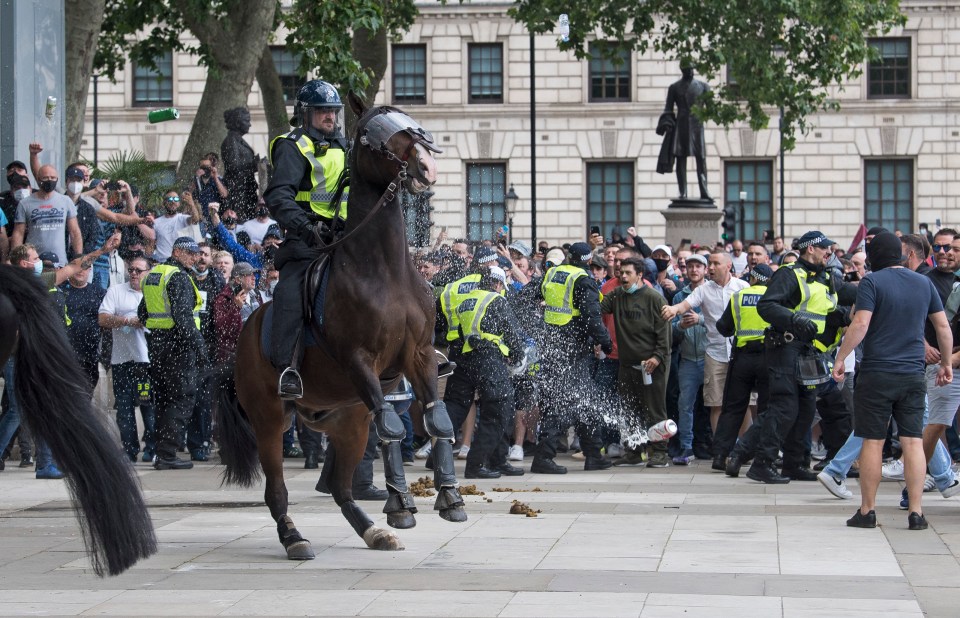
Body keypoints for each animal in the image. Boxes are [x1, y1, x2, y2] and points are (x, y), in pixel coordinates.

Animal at [221, 92, 468, 560]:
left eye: (411, 121)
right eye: (377, 134)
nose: (427, 167)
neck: (384, 270)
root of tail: (243, 339)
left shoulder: (419, 357)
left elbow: (438, 420)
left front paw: (449, 497)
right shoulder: (359, 361)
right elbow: (392, 426)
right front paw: (402, 504)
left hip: (347, 421)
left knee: (340, 488)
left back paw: (374, 532)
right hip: (270, 420)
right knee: (276, 491)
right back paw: (295, 538)